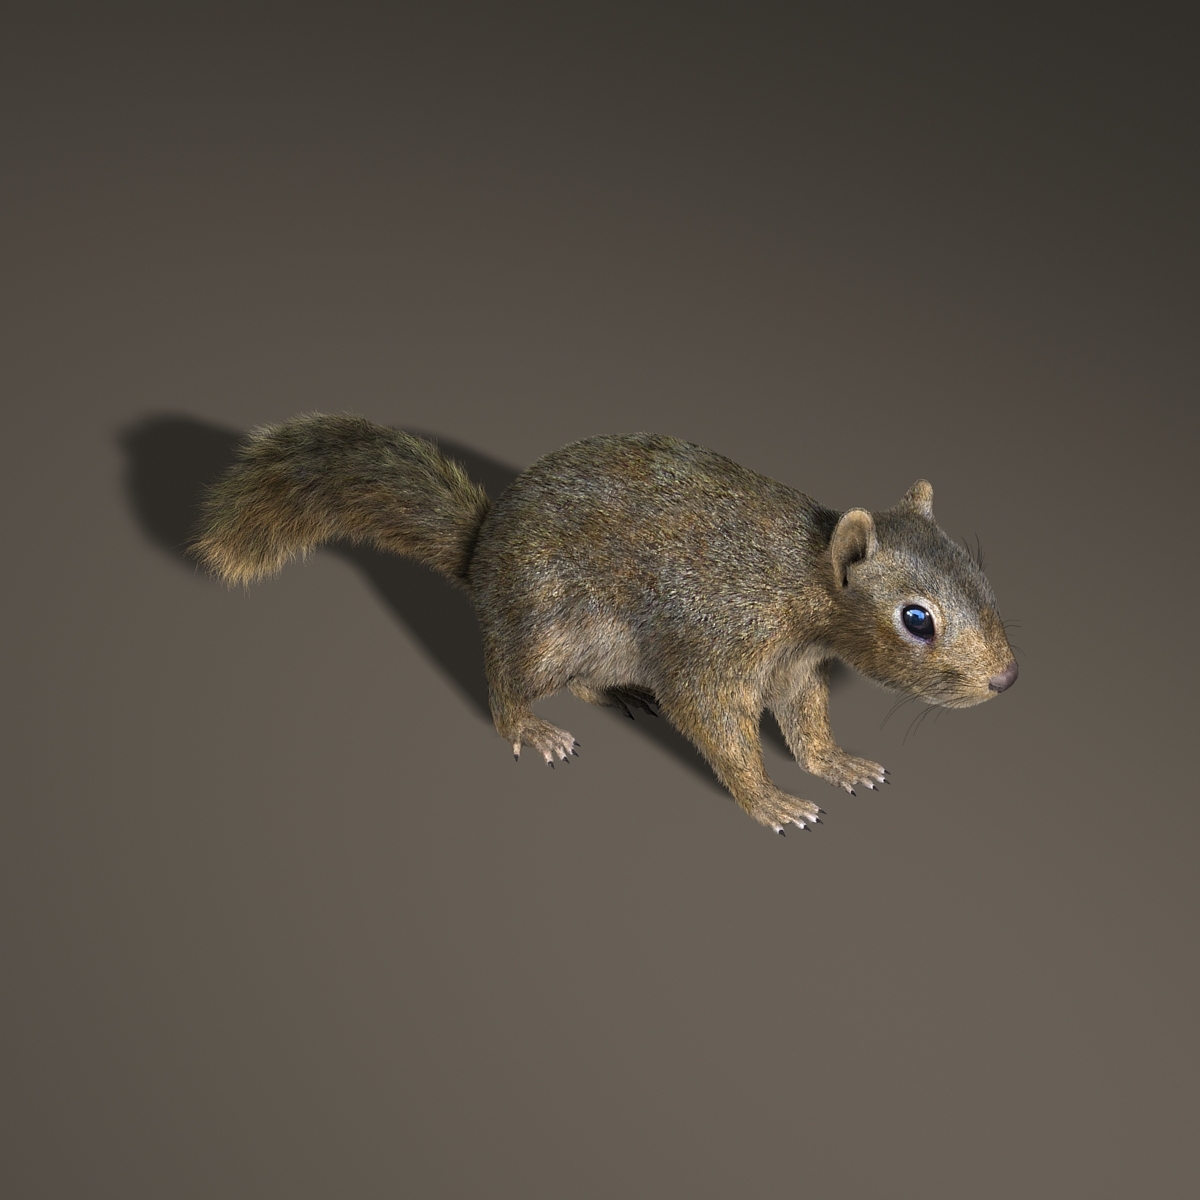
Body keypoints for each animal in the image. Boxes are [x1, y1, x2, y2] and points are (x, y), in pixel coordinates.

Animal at [194, 414, 1018, 835]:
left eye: (982, 578)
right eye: (916, 619)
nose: (1007, 678)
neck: (798, 585)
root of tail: (482, 555)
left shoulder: (794, 670)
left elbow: (807, 723)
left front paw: (838, 762)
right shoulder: (713, 645)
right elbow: (717, 725)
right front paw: (769, 800)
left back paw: (620, 694)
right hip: (546, 626)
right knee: (504, 680)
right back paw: (531, 726)